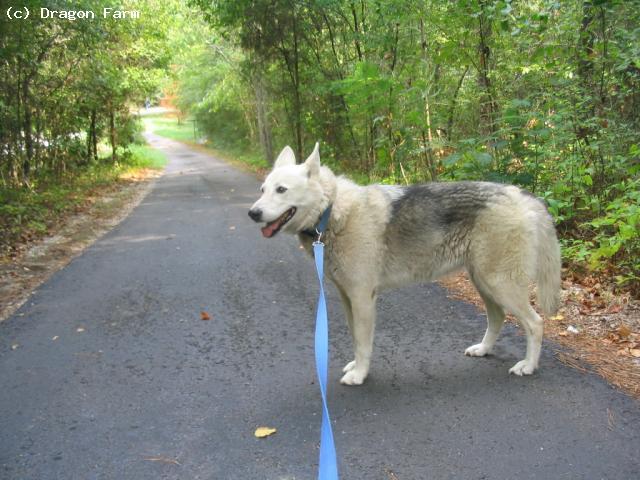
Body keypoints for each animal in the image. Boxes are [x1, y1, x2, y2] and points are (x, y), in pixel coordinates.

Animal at [250, 143, 560, 386]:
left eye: (281, 190)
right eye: (263, 189)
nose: (253, 213)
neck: (332, 211)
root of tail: (524, 196)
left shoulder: (362, 298)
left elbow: (364, 343)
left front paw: (359, 375)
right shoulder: (347, 298)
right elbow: (355, 339)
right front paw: (356, 367)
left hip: (499, 284)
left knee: (535, 323)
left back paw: (528, 366)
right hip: (484, 283)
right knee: (497, 318)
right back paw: (483, 349)